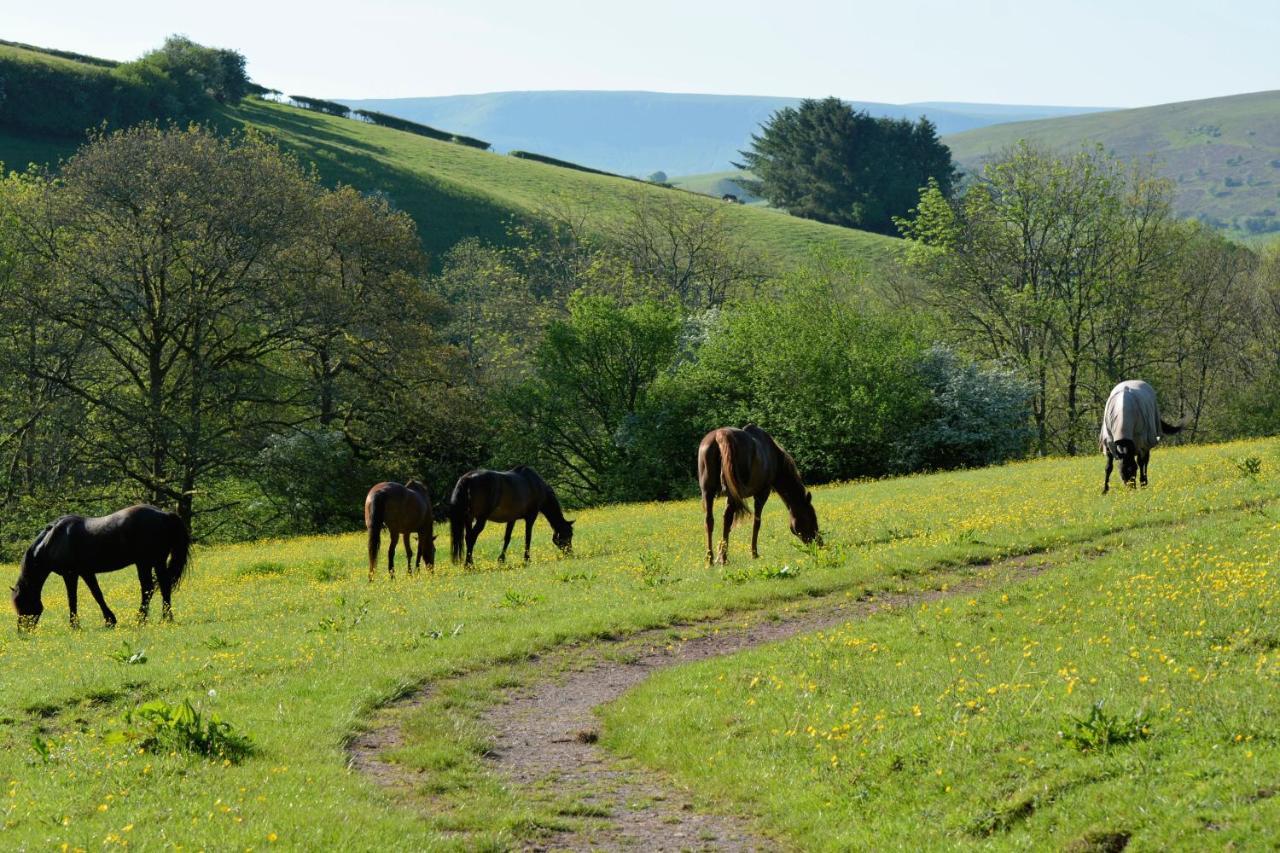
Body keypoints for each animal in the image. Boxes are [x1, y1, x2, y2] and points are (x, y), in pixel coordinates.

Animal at [9, 502, 189, 627]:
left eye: (22, 603)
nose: (23, 631)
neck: (52, 541)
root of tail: (164, 514)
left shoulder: (70, 574)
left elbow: (72, 599)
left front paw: (75, 625)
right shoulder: (86, 572)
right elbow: (97, 594)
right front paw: (110, 620)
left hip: (145, 562)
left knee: (148, 589)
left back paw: (141, 619)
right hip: (156, 562)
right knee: (163, 586)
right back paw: (166, 619)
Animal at [701, 422, 819, 560]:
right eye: (811, 518)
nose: (819, 544)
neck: (773, 456)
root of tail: (720, 435)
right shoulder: (762, 493)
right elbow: (757, 522)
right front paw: (754, 553)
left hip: (708, 492)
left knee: (709, 521)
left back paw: (710, 558)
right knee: (727, 519)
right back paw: (722, 558)